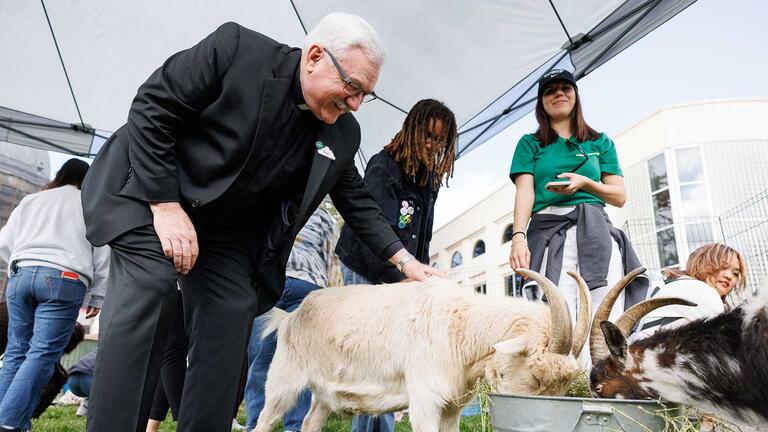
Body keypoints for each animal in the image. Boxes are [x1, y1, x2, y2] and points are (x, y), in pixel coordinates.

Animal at [255, 270, 592, 432]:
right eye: (537, 377)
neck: (460, 327)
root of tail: (291, 317)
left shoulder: (453, 407)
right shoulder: (425, 402)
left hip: (324, 394)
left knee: (310, 422)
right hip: (283, 381)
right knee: (265, 419)